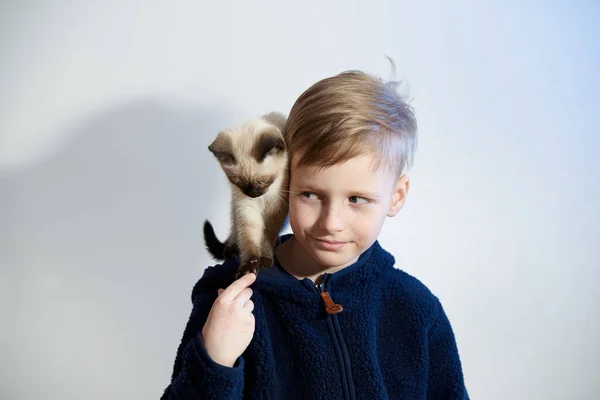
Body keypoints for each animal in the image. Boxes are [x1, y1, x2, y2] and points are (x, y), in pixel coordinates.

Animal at [204, 111, 290, 278]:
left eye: (263, 182)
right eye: (239, 182)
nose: (253, 194)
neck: (263, 199)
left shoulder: (276, 206)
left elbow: (266, 235)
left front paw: (264, 259)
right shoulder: (245, 204)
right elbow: (249, 238)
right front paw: (249, 266)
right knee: (235, 230)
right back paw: (231, 250)